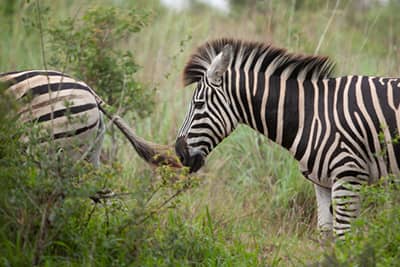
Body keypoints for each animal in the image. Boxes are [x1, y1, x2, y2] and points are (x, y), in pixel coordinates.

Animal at [175, 38, 400, 239]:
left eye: (198, 104)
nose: (179, 154)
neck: (309, 115)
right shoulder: (324, 182)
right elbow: (326, 235)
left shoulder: (349, 175)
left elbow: (344, 237)